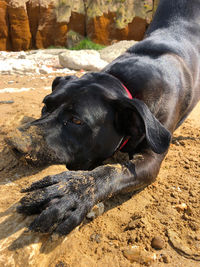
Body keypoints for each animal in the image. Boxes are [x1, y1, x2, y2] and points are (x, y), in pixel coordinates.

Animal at [17, 0, 200, 234]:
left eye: (76, 121)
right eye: (45, 105)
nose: (13, 143)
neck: (124, 83)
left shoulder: (151, 158)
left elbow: (110, 172)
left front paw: (71, 191)